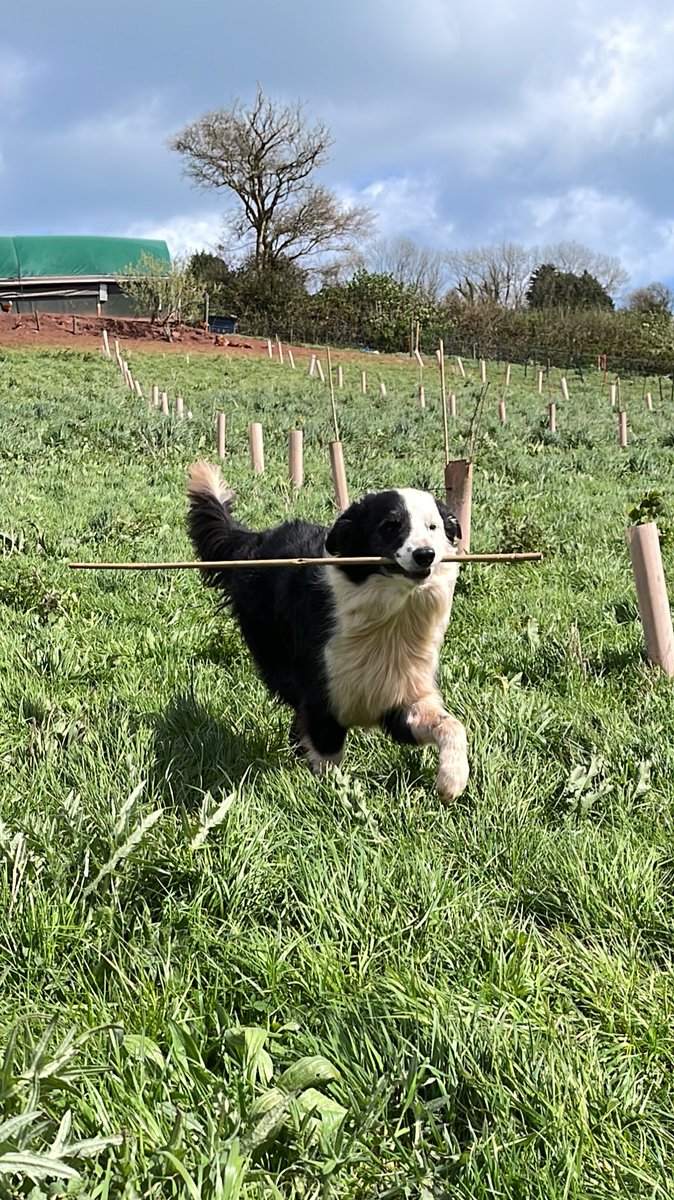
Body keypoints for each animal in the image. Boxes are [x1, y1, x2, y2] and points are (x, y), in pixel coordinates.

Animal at [183, 463, 467, 801]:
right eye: (390, 526)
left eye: (433, 527)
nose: (425, 554)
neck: (389, 615)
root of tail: (257, 540)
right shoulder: (322, 696)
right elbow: (327, 757)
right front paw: (332, 796)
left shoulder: (399, 696)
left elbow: (452, 725)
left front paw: (452, 780)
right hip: (276, 658)